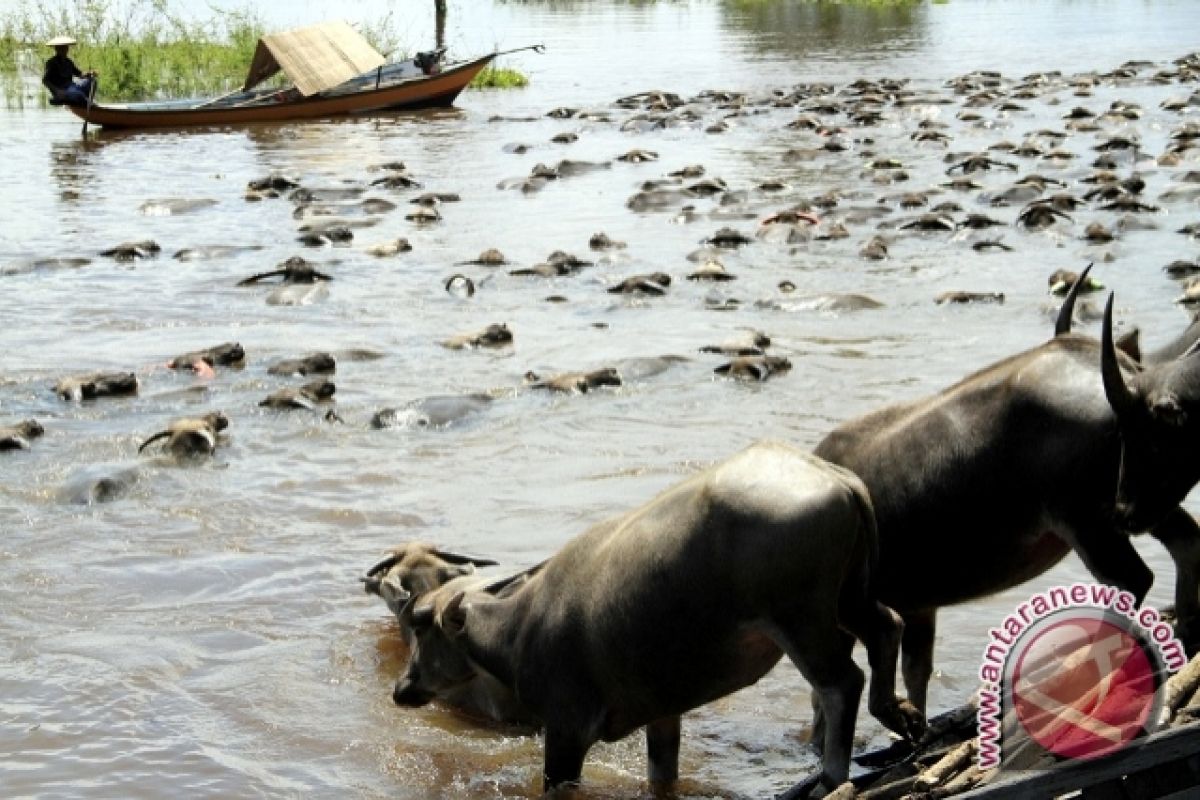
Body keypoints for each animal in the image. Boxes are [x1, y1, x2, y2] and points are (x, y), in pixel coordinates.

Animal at [388, 441, 921, 796]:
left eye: (421, 626)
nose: (401, 687)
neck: (519, 630)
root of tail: (835, 477)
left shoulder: (564, 733)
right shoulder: (664, 713)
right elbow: (662, 775)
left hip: (802, 620)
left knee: (841, 683)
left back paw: (831, 775)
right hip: (850, 596)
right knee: (888, 626)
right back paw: (900, 714)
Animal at [820, 283, 1200, 719]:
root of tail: (1127, 378)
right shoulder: (919, 607)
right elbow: (916, 671)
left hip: (1086, 520)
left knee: (1131, 578)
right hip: (1140, 501)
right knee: (1186, 539)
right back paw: (1187, 628)